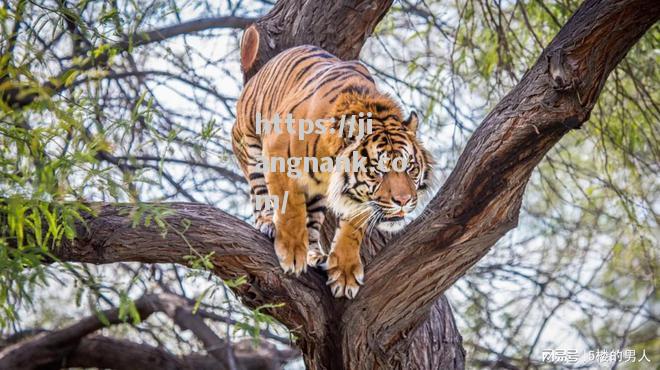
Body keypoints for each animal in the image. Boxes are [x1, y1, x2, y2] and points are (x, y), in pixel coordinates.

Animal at [232, 26, 434, 298]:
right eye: (378, 171)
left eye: (410, 168)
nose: (403, 201)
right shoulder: (277, 153)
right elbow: (289, 208)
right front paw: (292, 254)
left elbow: (353, 227)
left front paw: (345, 273)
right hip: (251, 147)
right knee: (261, 195)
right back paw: (269, 225)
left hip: (317, 194)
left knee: (312, 222)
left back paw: (315, 253)